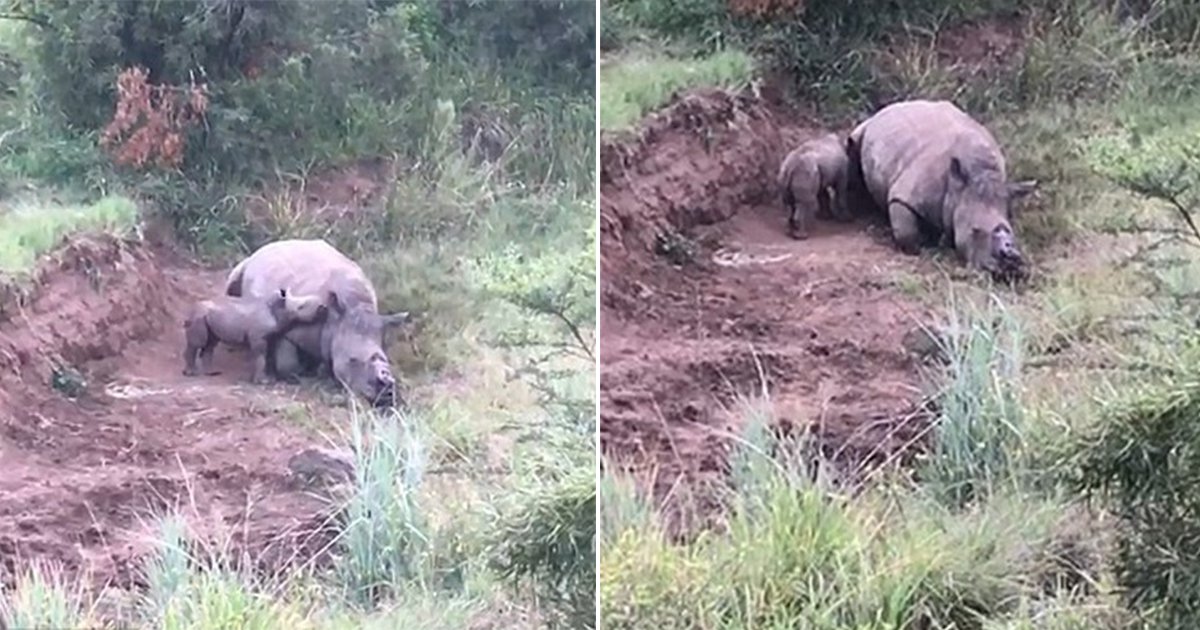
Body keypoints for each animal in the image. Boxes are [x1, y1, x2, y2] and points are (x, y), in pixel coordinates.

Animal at [182, 288, 330, 383]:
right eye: (301, 307)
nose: (323, 306)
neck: (279, 309)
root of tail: (191, 308)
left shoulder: (270, 336)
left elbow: (267, 356)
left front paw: (269, 378)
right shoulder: (258, 337)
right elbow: (260, 356)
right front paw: (262, 381)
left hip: (208, 316)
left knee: (211, 342)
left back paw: (211, 373)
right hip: (199, 315)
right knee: (199, 343)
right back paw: (191, 373)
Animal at [224, 239, 411, 408]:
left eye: (386, 360)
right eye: (352, 360)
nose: (385, 395)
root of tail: (259, 251)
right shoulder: (292, 328)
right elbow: (288, 364)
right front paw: (302, 374)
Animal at [847, 99, 1038, 279]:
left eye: (1011, 231)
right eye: (974, 230)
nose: (1009, 269)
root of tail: (892, 106)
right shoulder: (904, 196)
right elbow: (907, 232)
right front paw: (927, 246)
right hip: (867, 128)